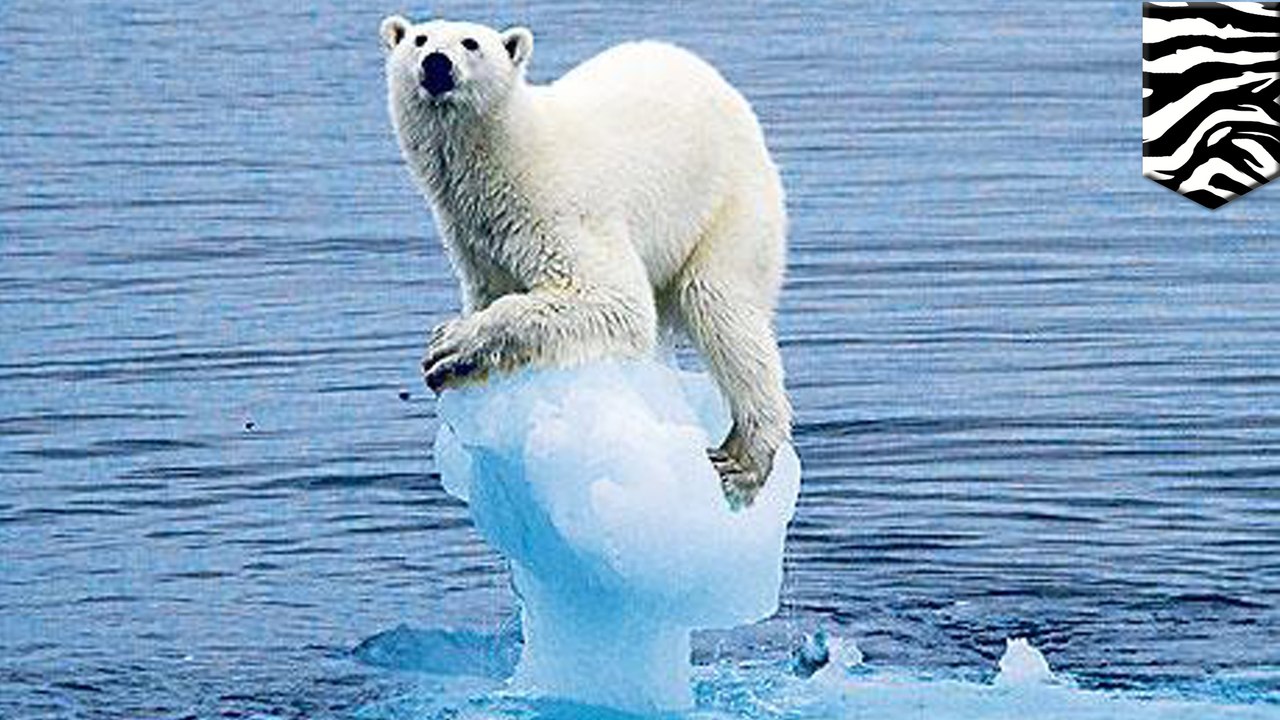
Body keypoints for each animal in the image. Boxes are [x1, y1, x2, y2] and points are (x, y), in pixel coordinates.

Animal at [380, 16, 791, 506]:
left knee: (722, 308)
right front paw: (454, 367)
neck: (509, 154)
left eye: (470, 42)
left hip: (729, 201)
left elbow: (610, 298)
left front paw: (450, 344)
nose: (437, 64)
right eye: (419, 39)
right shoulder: (475, 238)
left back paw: (743, 460)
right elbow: (492, 290)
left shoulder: (557, 208)